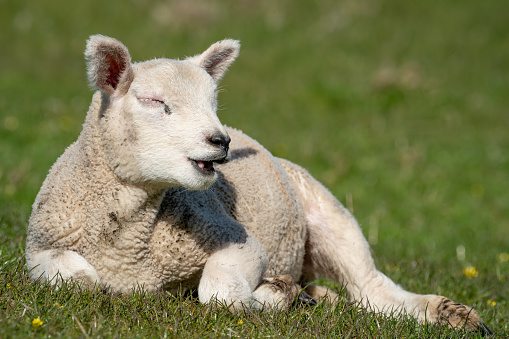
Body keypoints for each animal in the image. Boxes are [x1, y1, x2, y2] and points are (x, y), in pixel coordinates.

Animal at [25, 35, 490, 334]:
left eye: (213, 103)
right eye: (155, 102)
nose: (221, 140)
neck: (128, 240)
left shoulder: (237, 239)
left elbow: (220, 295)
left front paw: (274, 297)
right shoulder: (39, 247)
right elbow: (80, 279)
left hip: (329, 214)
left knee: (372, 289)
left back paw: (450, 315)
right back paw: (319, 297)